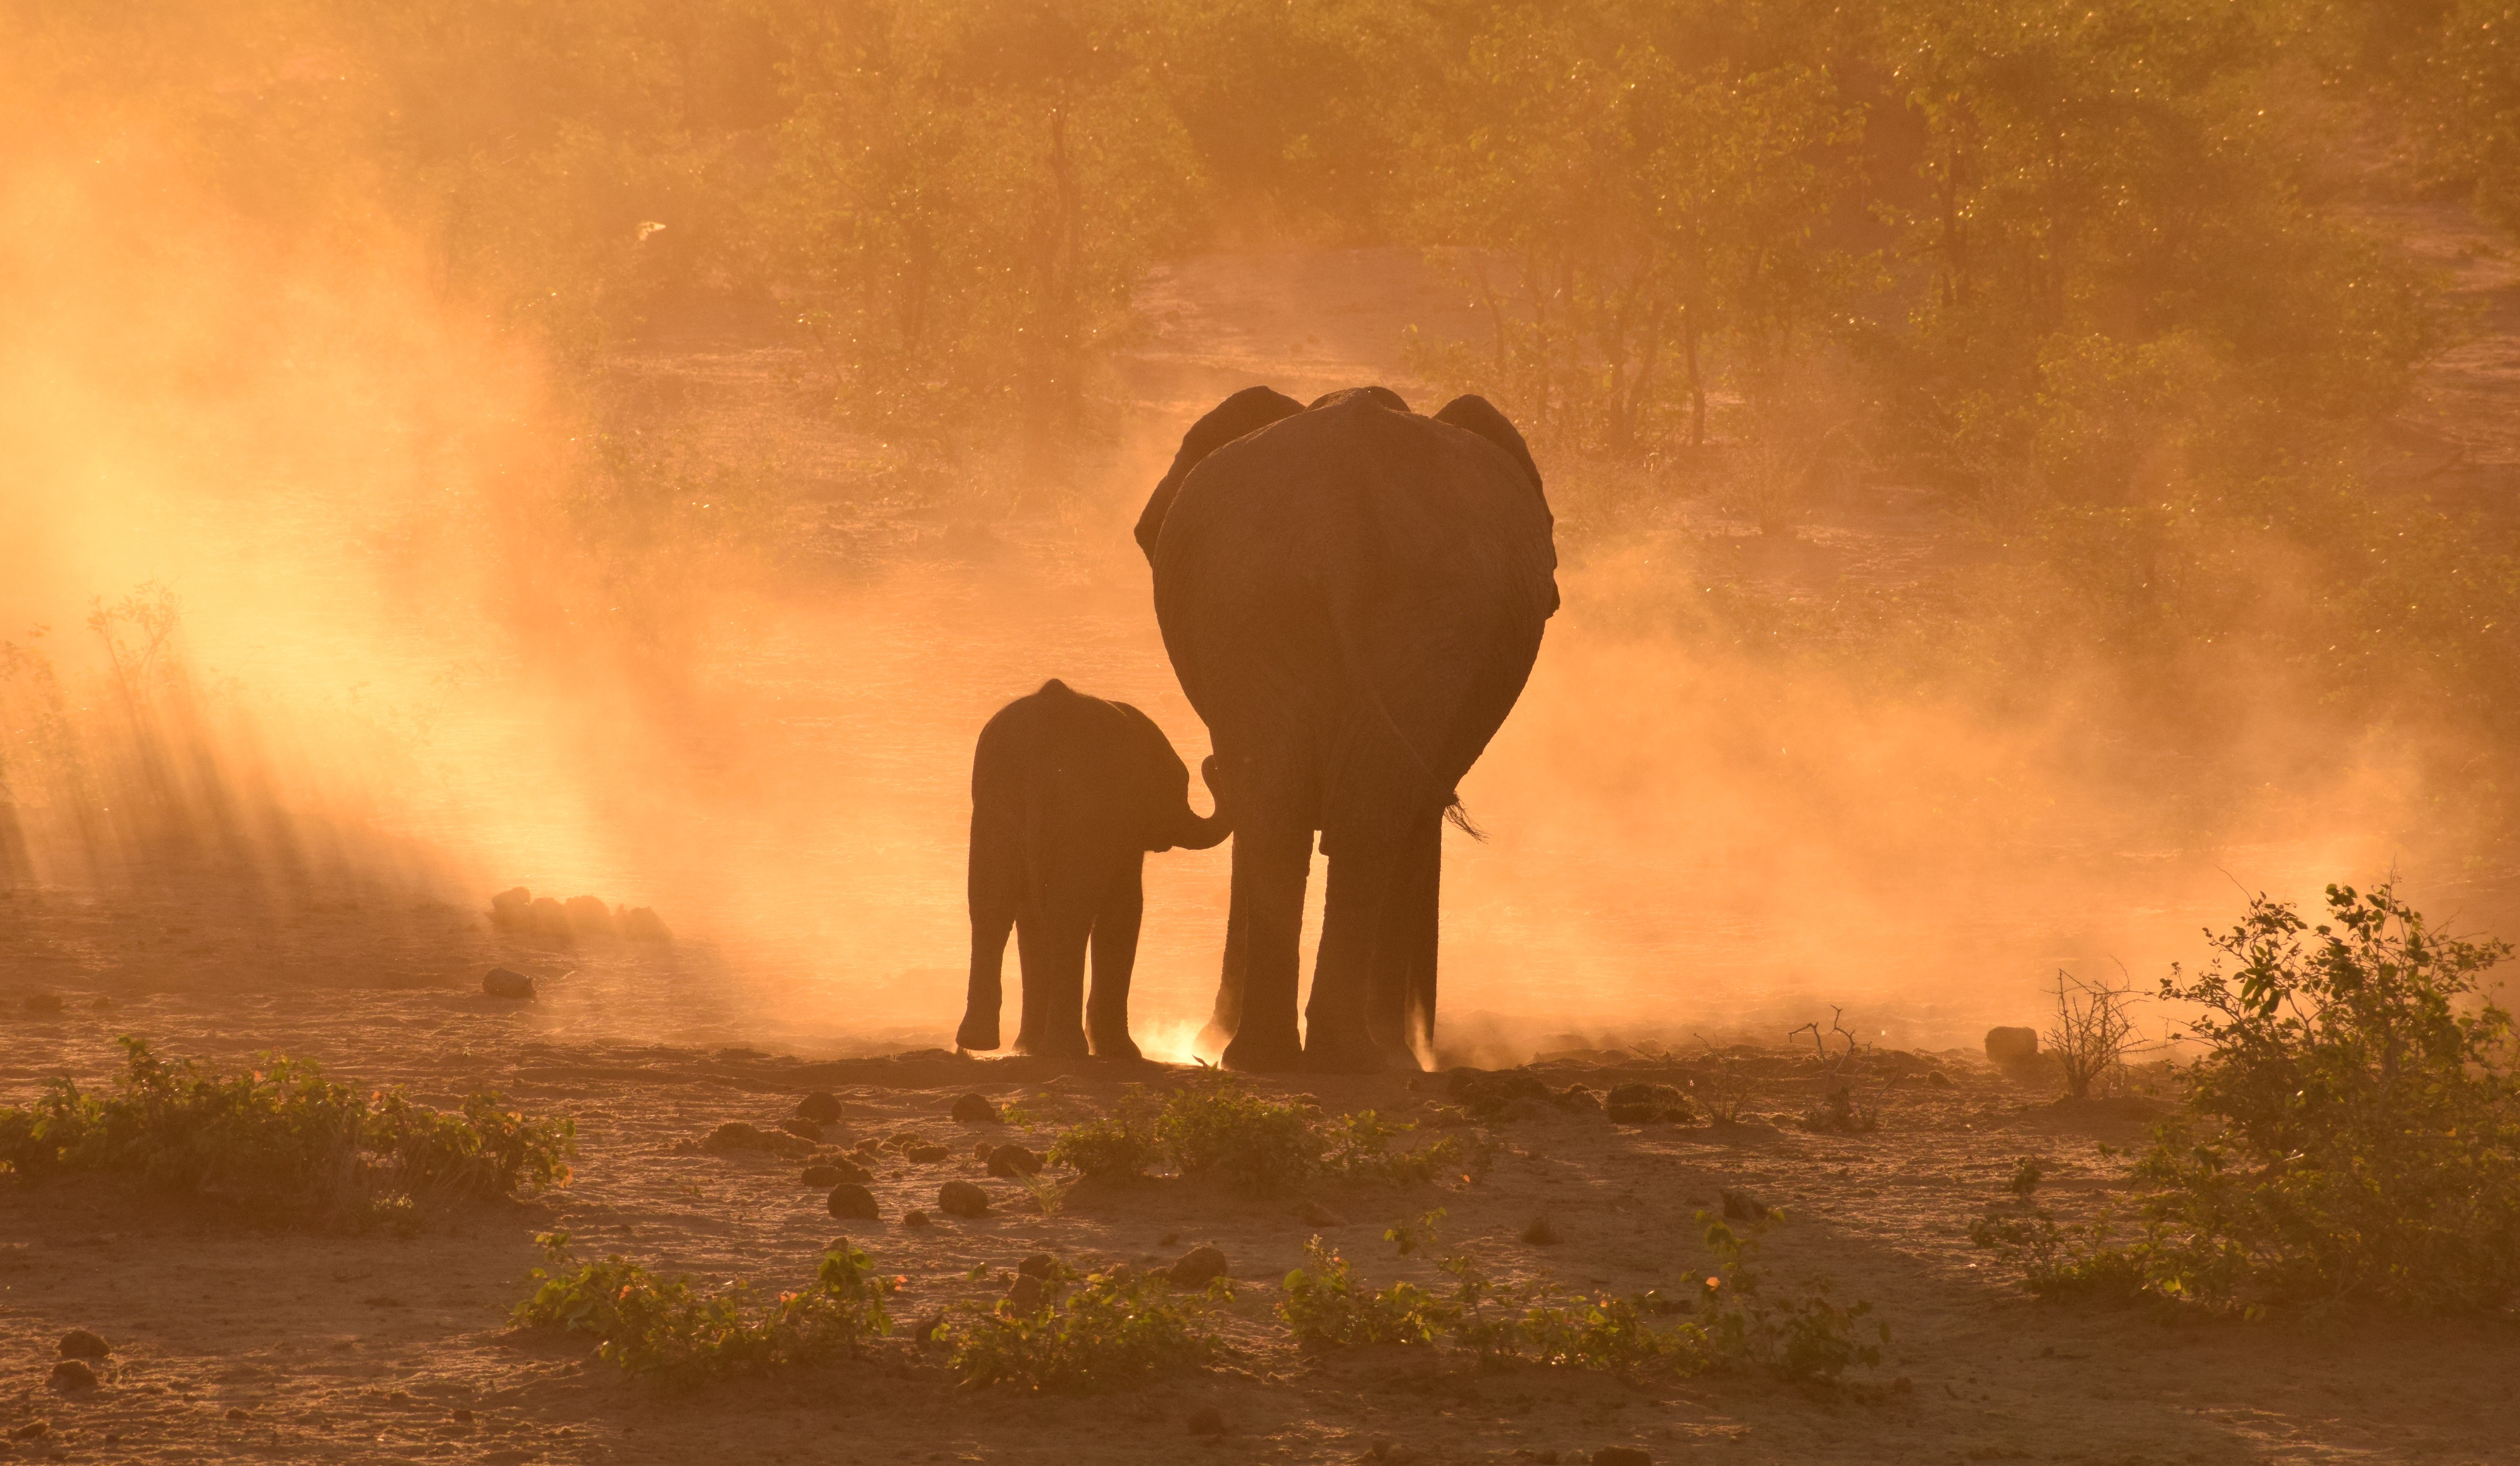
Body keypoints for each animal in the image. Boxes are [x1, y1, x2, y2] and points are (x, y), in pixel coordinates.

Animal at [955, 678, 1231, 1061]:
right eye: (1181, 782)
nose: (1213, 761)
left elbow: (1029, 914)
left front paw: (1028, 1049)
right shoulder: (1120, 827)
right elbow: (1125, 907)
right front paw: (1123, 1053)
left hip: (994, 803)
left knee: (993, 905)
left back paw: (985, 1044)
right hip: (1072, 811)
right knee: (1067, 915)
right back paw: (1064, 1050)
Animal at [1136, 384, 1558, 1073]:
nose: (1433, 1039)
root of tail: (1343, 524)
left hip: (1312, 610)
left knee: (1298, 816)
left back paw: (1304, 1055)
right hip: (1316, 608)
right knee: (1346, 819)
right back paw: (1345, 1055)